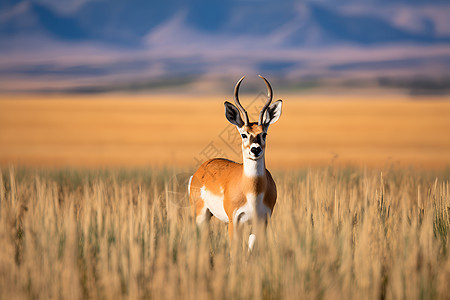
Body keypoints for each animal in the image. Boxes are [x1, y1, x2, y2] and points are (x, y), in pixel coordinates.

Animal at [189, 75, 282, 251]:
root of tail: (202, 167)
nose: (255, 150)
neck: (252, 191)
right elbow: (235, 251)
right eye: (244, 134)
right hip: (200, 215)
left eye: (264, 134)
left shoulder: (262, 221)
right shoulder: (235, 221)